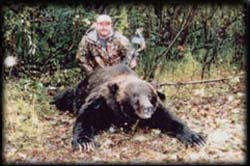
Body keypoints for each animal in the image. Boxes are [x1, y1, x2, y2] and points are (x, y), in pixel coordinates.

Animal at [70, 63, 205, 150]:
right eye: (135, 96)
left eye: (150, 96)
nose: (148, 108)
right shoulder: (102, 102)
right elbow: (86, 117)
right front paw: (84, 142)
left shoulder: (157, 110)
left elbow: (170, 119)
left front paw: (195, 138)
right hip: (79, 90)